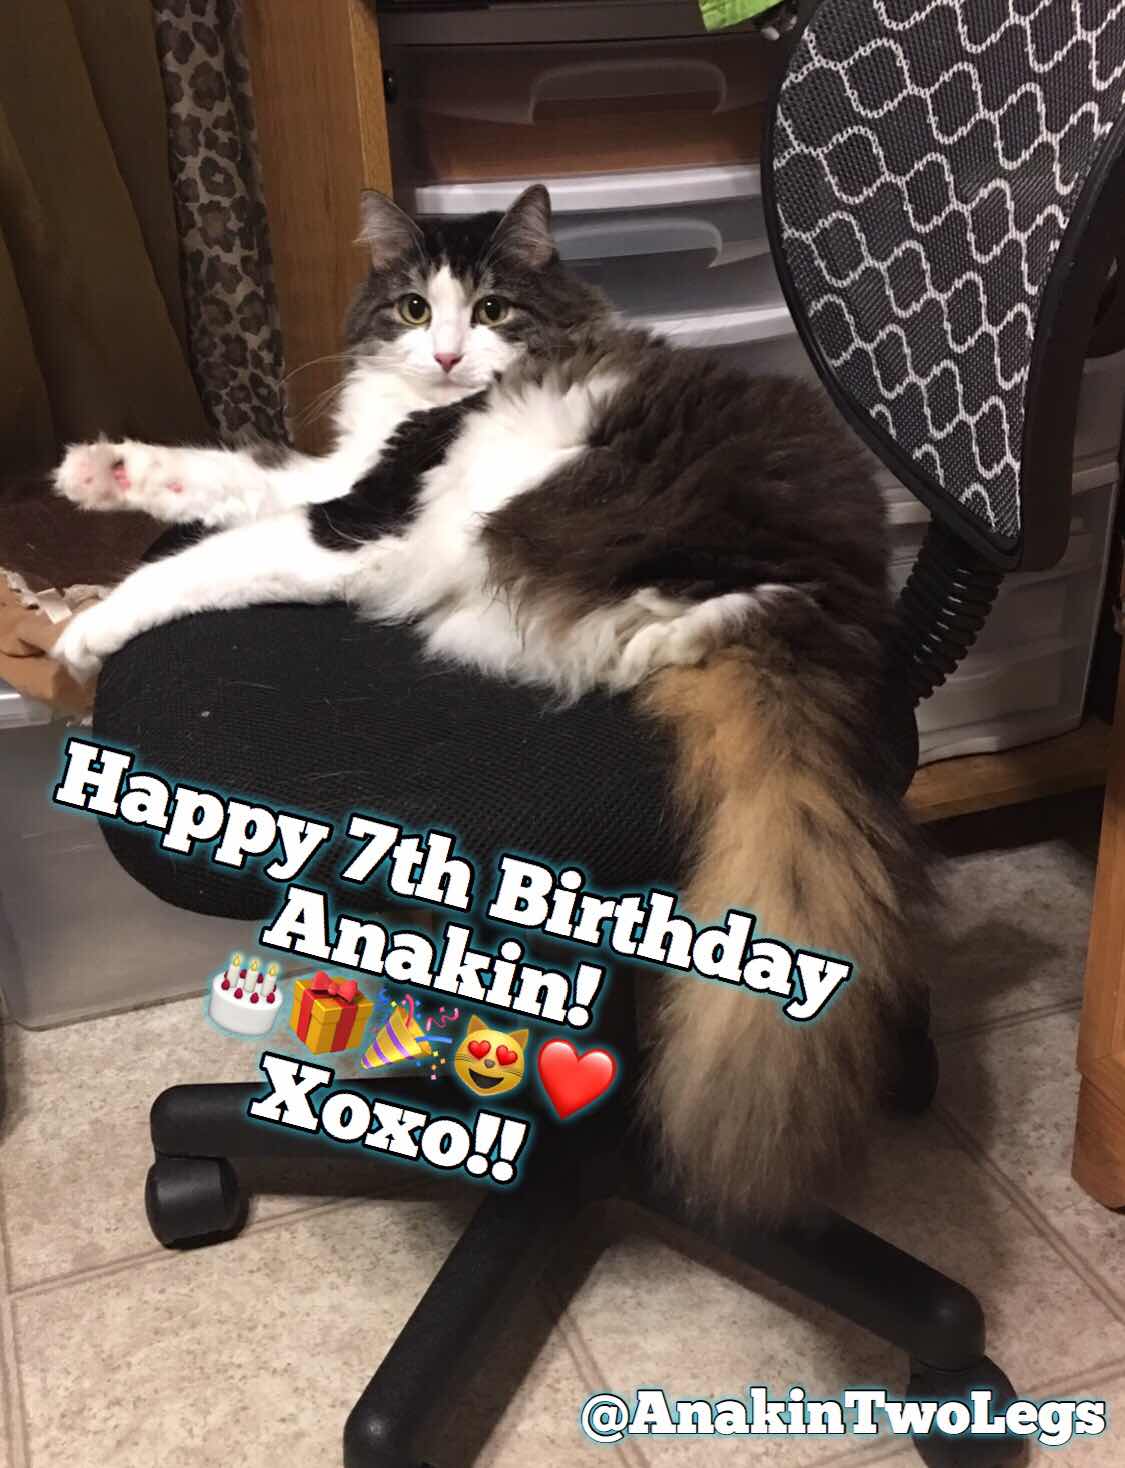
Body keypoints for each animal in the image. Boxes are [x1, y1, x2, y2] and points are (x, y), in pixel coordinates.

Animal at [53, 184, 928, 1222]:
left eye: (492, 310)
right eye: (412, 310)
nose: (445, 357)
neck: (428, 410)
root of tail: (860, 597)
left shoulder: (361, 527)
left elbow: (207, 560)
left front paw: (88, 629)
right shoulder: (344, 476)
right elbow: (230, 475)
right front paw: (101, 474)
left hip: (615, 524)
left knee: (714, 615)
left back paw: (658, 637)